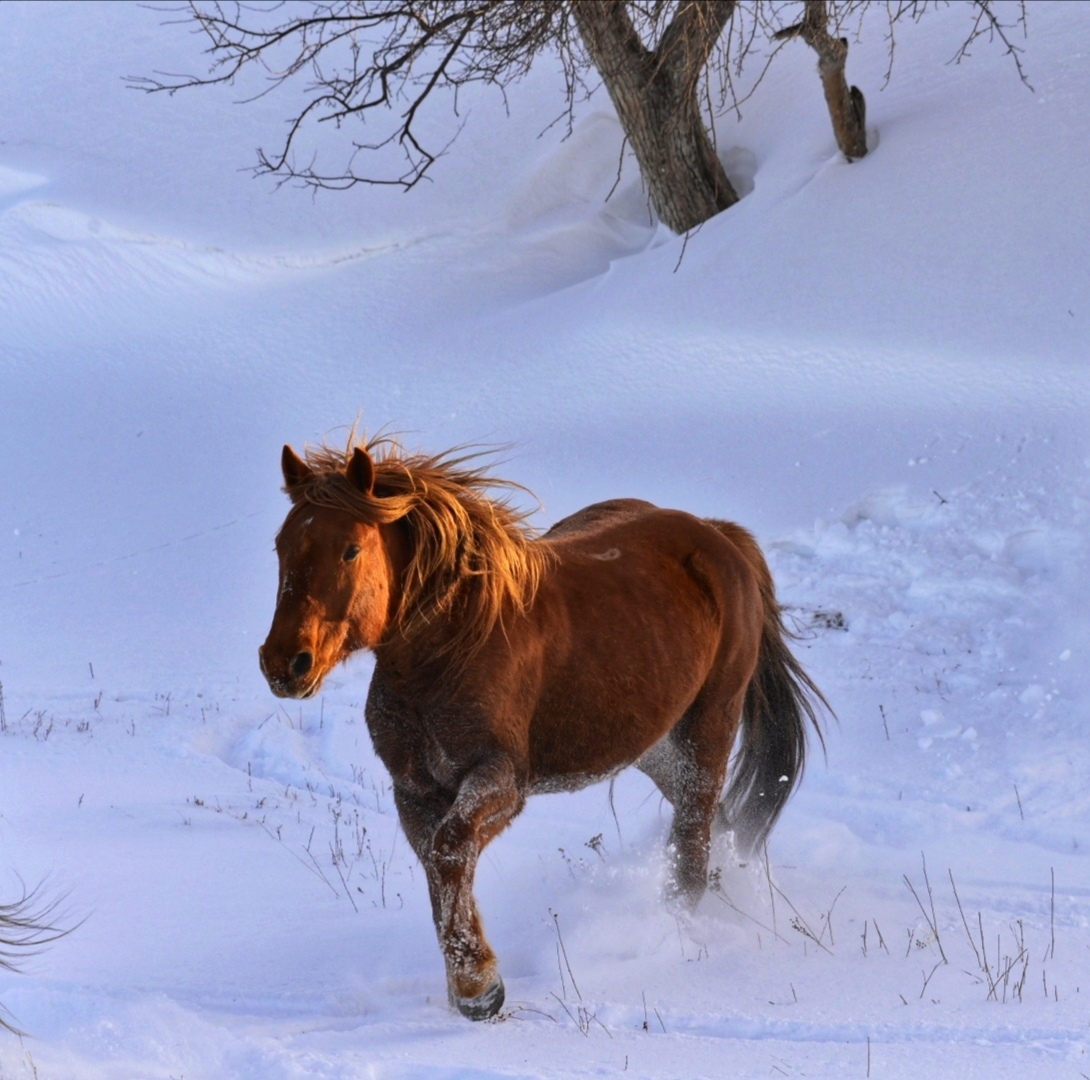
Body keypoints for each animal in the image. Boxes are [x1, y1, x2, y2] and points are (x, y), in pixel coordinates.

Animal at [261, 433, 824, 1020]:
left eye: (350, 549)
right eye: (281, 546)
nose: (284, 664)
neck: (451, 647)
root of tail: (719, 535)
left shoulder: (501, 781)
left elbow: (450, 850)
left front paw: (478, 988)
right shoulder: (414, 791)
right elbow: (439, 869)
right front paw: (470, 986)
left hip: (707, 729)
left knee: (692, 836)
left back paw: (675, 934)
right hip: (654, 747)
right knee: (717, 823)